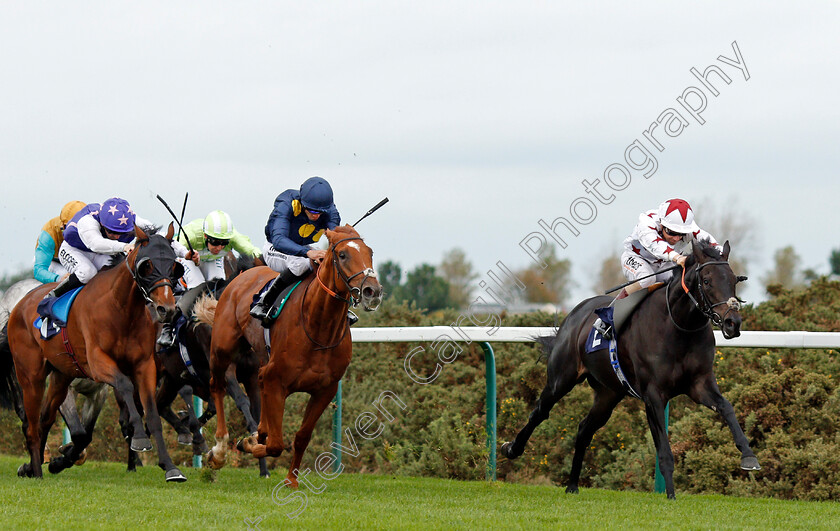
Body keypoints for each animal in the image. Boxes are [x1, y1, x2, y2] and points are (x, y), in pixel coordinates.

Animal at [3, 223, 189, 482]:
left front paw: (170, 467)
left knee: (44, 420)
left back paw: (33, 467)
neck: (120, 309)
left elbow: (151, 413)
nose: (167, 309)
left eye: (174, 265)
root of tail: (20, 304)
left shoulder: (144, 366)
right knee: (31, 425)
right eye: (147, 265)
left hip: (61, 377)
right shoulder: (98, 363)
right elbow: (124, 386)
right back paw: (37, 471)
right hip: (31, 376)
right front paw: (140, 439)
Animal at [208, 224, 384, 486]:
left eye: (370, 252)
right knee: (217, 386)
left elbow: (301, 437)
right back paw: (219, 450)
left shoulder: (325, 390)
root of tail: (243, 274)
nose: (373, 291)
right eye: (342, 255)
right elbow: (276, 444)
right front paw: (249, 444)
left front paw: (291, 479)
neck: (319, 329)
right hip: (222, 348)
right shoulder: (277, 382)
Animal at [506, 241, 760, 498]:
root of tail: (575, 314)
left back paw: (572, 485)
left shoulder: (700, 384)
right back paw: (512, 449)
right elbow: (664, 451)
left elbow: (726, 408)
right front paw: (670, 495)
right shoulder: (653, 395)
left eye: (734, 280)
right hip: (561, 378)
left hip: (608, 393)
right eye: (707, 280)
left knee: (584, 429)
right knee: (540, 412)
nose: (733, 323)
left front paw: (749, 456)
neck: (678, 327)